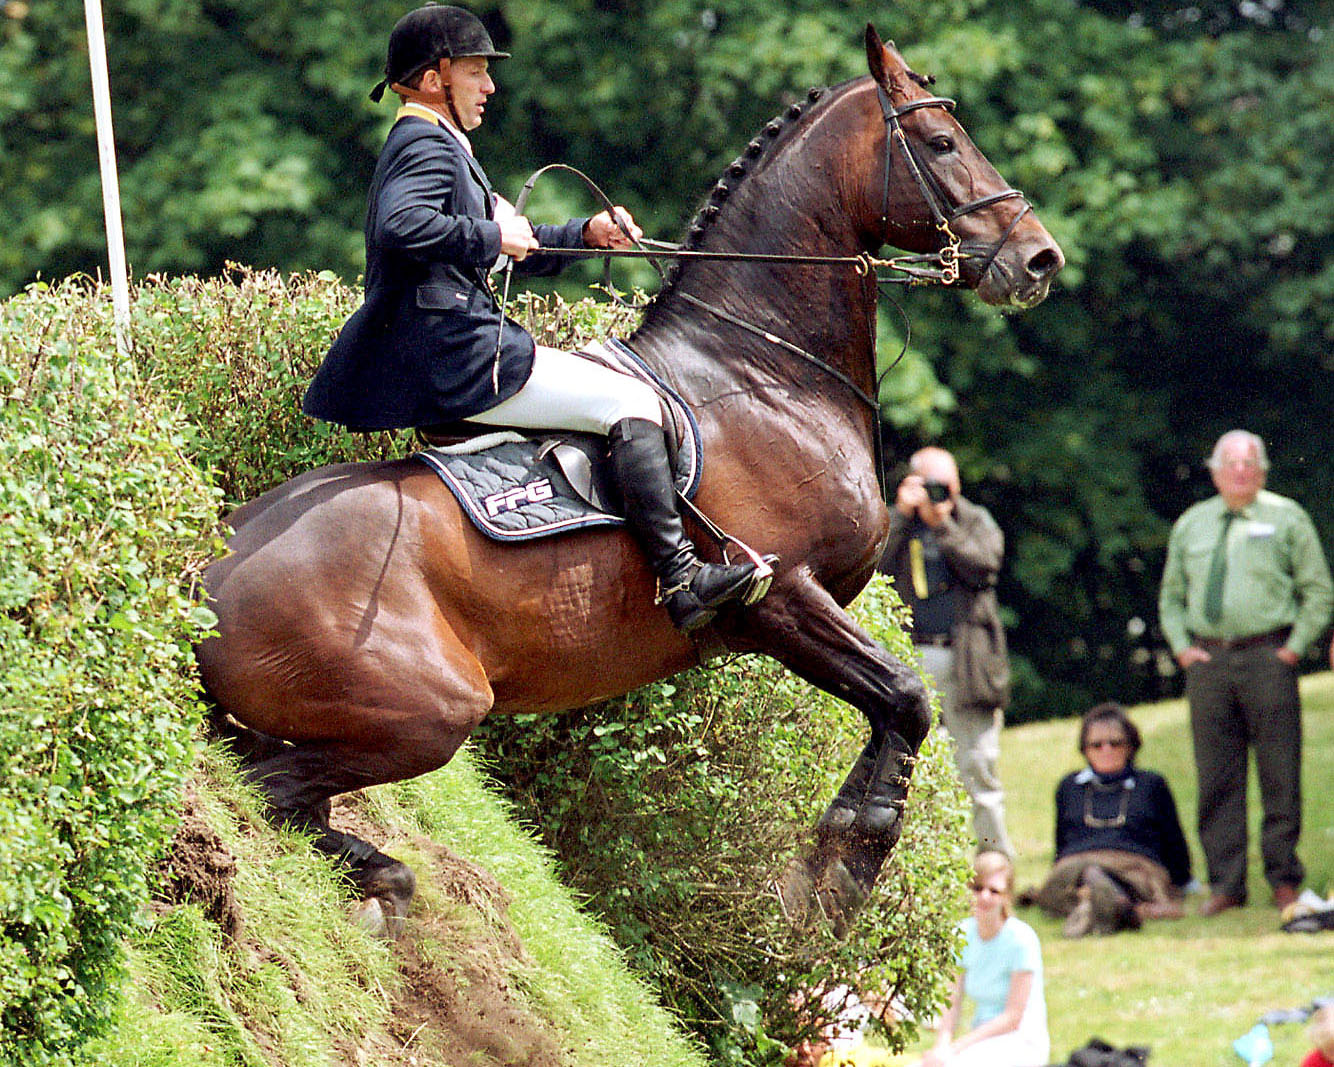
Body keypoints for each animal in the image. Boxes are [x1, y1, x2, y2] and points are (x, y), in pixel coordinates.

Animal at [197, 23, 1067, 933]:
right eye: (940, 142)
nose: (1040, 258)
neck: (760, 369)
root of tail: (204, 574)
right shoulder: (784, 595)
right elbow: (905, 699)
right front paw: (837, 876)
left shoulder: (788, 615)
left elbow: (889, 716)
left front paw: (832, 859)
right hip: (426, 711)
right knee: (267, 791)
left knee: (285, 796)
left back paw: (381, 889)